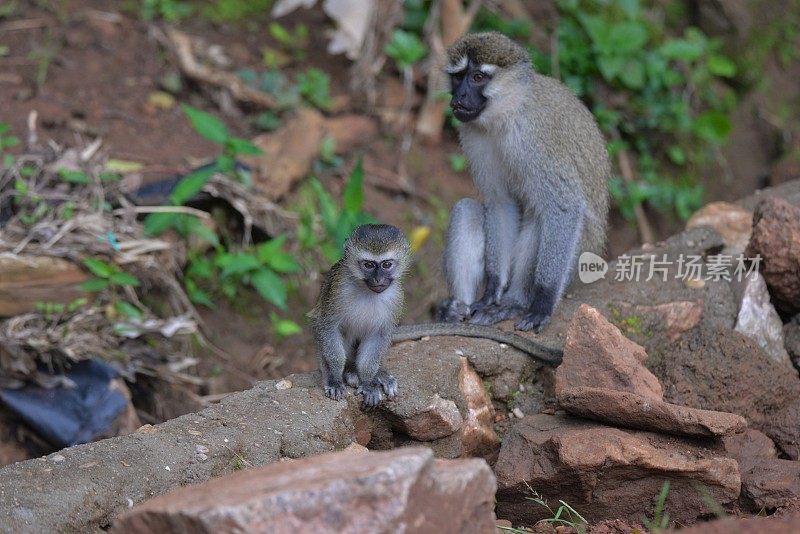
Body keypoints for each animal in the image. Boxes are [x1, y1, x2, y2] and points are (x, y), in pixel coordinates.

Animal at [310, 224, 560, 408]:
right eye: (369, 265)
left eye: (387, 264)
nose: (379, 279)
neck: (367, 291)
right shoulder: (337, 289)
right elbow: (328, 326)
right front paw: (335, 378)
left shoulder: (396, 297)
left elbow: (378, 335)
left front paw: (369, 381)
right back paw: (347, 371)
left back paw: (370, 373)